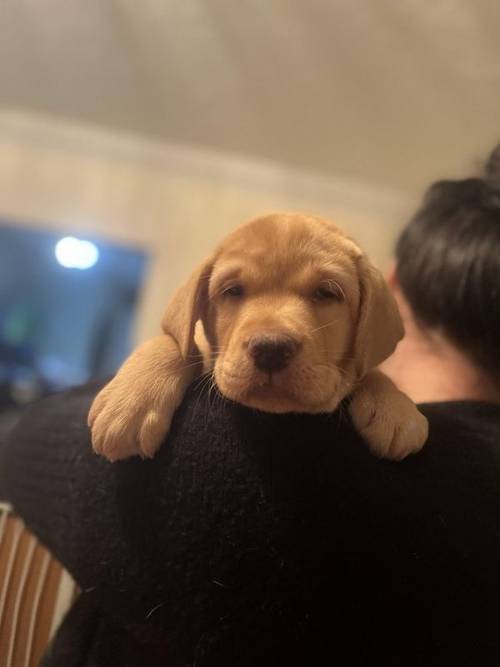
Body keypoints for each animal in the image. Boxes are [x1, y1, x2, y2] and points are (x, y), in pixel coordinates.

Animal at [88, 215, 428, 464]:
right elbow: (173, 343)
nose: (271, 350)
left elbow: (369, 369)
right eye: (232, 290)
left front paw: (393, 405)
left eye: (326, 293)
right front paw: (131, 403)